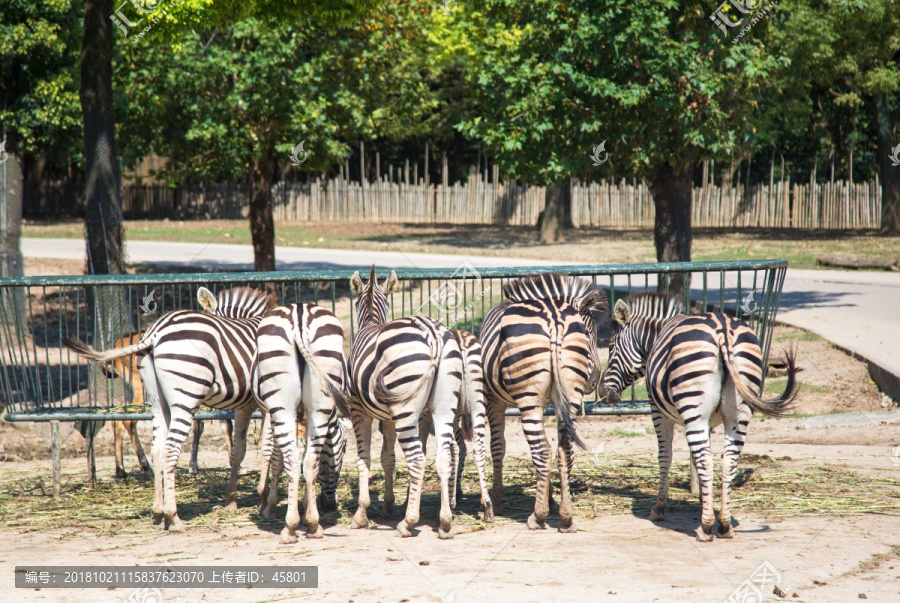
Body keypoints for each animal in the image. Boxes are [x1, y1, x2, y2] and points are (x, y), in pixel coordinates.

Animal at [65, 286, 272, 532]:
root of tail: (155, 332)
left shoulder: (245, 406)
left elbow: (238, 451)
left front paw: (231, 500)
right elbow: (267, 449)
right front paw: (264, 498)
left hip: (156, 399)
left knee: (157, 449)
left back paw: (157, 512)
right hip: (184, 396)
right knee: (168, 447)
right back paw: (173, 516)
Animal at [253, 302, 356, 544]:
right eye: (345, 449)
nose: (331, 505)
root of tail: (299, 313)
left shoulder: (269, 412)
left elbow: (274, 456)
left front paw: (268, 505)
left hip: (281, 405)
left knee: (291, 460)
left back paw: (289, 528)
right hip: (321, 401)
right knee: (309, 461)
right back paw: (313, 524)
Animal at [348, 266, 468, 540]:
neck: (371, 321)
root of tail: (433, 335)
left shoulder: (359, 411)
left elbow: (364, 458)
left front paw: (361, 514)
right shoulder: (390, 417)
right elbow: (387, 458)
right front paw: (389, 505)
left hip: (405, 410)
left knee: (417, 459)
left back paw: (409, 523)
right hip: (443, 406)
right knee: (444, 455)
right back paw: (445, 522)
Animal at [478, 274, 604, 532]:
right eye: (588, 333)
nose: (594, 381)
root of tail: (554, 317)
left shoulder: (493, 399)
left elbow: (498, 446)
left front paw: (497, 498)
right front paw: (551, 499)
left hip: (529, 398)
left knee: (542, 450)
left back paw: (537, 516)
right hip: (570, 396)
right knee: (564, 450)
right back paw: (566, 517)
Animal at [596, 292, 800, 544]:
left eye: (611, 347)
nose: (602, 392)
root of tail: (723, 330)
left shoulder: (658, 411)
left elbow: (666, 456)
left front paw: (660, 507)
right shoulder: (710, 422)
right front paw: (705, 500)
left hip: (694, 408)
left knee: (706, 460)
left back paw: (705, 527)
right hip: (738, 412)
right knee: (728, 461)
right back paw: (724, 525)